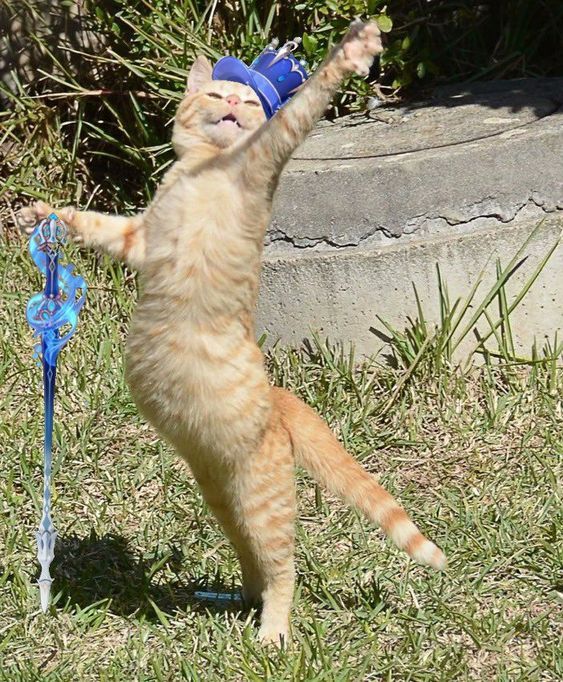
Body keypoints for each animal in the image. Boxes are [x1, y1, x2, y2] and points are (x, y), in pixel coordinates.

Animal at [19, 21, 448, 644]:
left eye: (248, 103)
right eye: (216, 94)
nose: (229, 106)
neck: (204, 168)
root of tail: (280, 399)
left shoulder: (267, 152)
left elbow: (307, 101)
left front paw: (353, 51)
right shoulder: (137, 238)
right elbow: (94, 224)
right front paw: (43, 215)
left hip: (264, 501)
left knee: (286, 568)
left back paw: (273, 634)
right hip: (224, 497)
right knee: (254, 559)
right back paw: (234, 598)